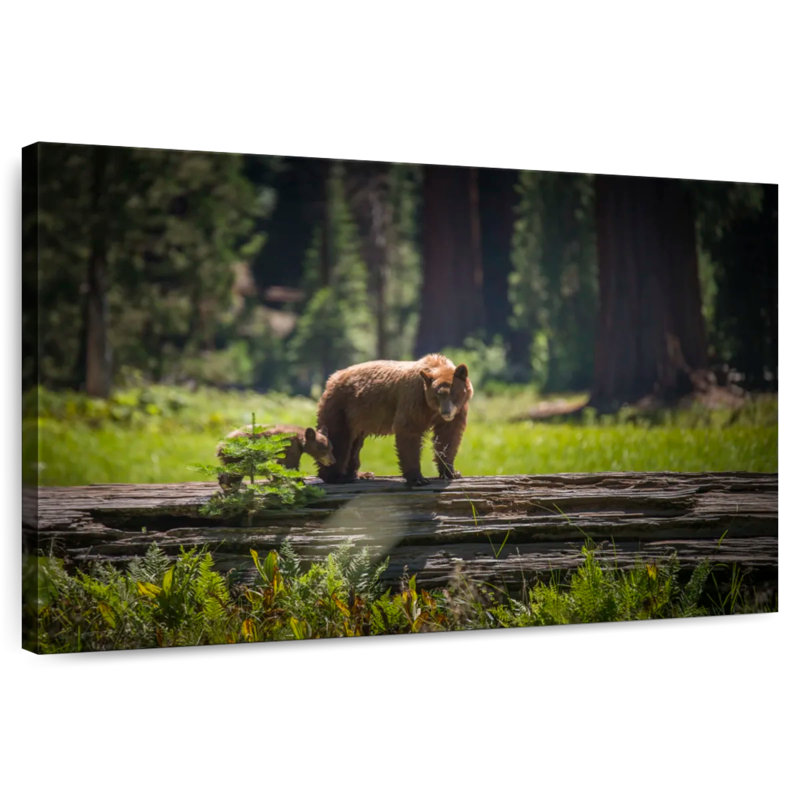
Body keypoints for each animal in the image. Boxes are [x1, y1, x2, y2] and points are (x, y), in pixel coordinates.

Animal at [315, 353, 472, 487]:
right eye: (437, 395)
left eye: (453, 393)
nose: (446, 412)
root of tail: (332, 378)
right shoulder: (414, 399)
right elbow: (409, 432)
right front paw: (418, 478)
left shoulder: (458, 411)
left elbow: (448, 437)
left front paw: (452, 472)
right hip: (341, 406)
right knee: (338, 439)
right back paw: (336, 476)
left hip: (358, 418)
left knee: (354, 444)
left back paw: (360, 474)